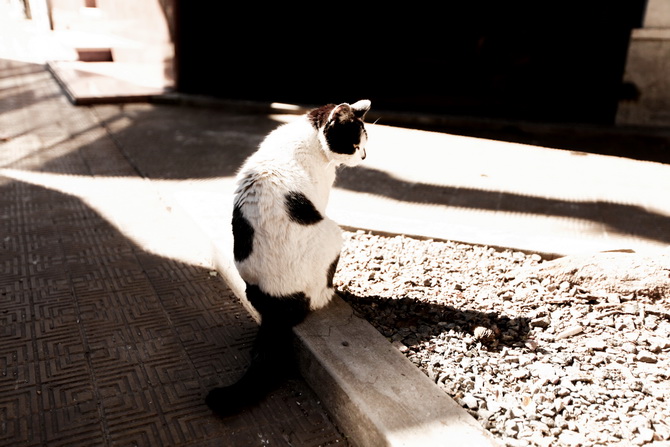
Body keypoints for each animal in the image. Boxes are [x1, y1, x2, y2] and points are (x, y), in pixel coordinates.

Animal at [206, 100, 372, 414]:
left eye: (364, 144)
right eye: (355, 144)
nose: (365, 156)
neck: (308, 132)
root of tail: (277, 303)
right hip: (334, 233)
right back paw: (330, 292)